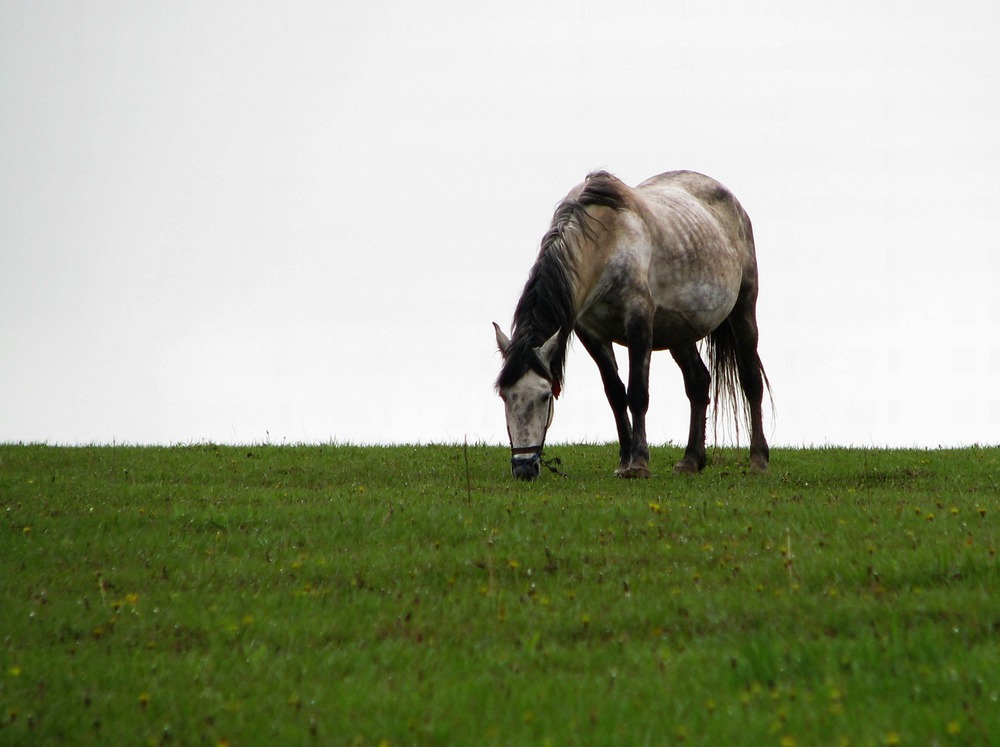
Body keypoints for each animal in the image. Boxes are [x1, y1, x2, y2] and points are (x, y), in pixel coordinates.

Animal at [496, 170, 768, 482]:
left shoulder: (638, 323)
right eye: (504, 396)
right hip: (679, 333)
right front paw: (625, 459)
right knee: (698, 383)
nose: (524, 468)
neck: (606, 243)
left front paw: (638, 463)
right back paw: (691, 460)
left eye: (544, 396)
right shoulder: (592, 334)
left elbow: (637, 393)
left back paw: (758, 460)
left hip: (743, 310)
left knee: (751, 380)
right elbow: (616, 394)